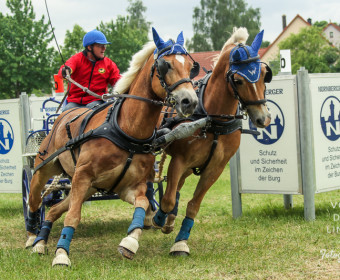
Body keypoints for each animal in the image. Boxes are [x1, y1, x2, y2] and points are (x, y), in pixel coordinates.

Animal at [25, 28, 199, 266]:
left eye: (191, 67)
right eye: (166, 65)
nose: (190, 101)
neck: (126, 129)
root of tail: (59, 118)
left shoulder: (128, 186)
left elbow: (143, 203)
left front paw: (130, 241)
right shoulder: (83, 175)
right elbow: (73, 216)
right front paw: (61, 255)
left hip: (86, 188)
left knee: (54, 210)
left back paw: (41, 242)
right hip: (46, 171)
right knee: (35, 201)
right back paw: (32, 237)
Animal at [153, 27, 272, 256]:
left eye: (264, 75)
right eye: (238, 80)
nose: (263, 118)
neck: (212, 118)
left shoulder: (215, 168)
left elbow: (193, 205)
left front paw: (181, 241)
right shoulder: (179, 160)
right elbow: (168, 198)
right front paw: (158, 218)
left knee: (179, 186)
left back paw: (170, 221)